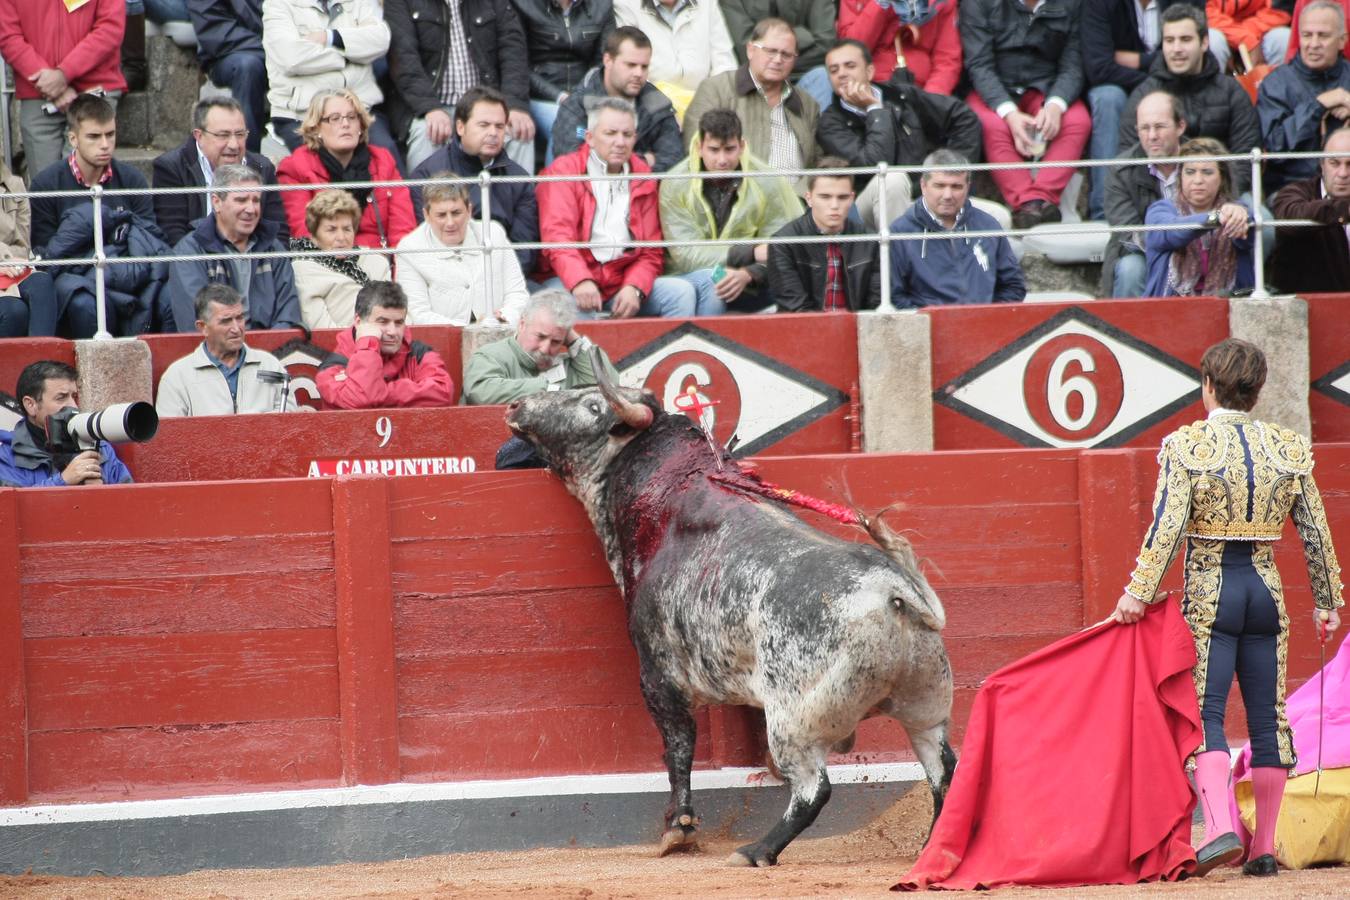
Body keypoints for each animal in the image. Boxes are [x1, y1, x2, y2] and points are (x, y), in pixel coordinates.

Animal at [507, 358, 961, 863]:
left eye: (590, 404)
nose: (517, 405)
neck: (666, 495)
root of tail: (894, 591)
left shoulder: (659, 675)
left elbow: (679, 747)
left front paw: (679, 828)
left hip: (795, 722)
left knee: (814, 789)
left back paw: (757, 849)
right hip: (925, 706)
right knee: (943, 771)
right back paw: (933, 847)